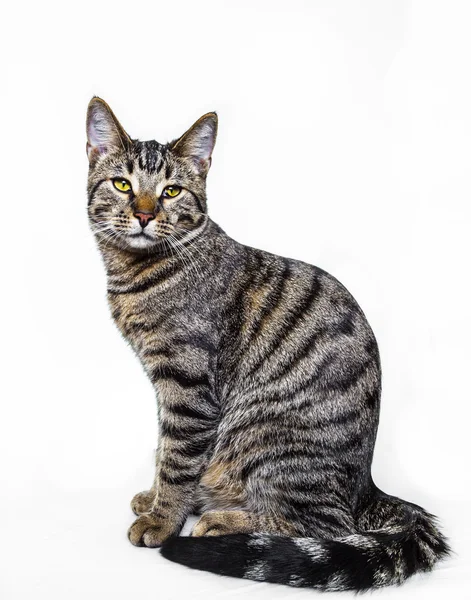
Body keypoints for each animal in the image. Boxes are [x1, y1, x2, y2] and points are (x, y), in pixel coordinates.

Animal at [86, 97, 452, 592]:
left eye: (171, 192)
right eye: (123, 184)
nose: (144, 215)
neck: (138, 271)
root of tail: (365, 488)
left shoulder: (187, 381)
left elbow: (177, 456)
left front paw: (163, 519)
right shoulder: (167, 385)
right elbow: (165, 448)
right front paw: (157, 497)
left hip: (266, 437)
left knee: (324, 525)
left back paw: (222, 521)